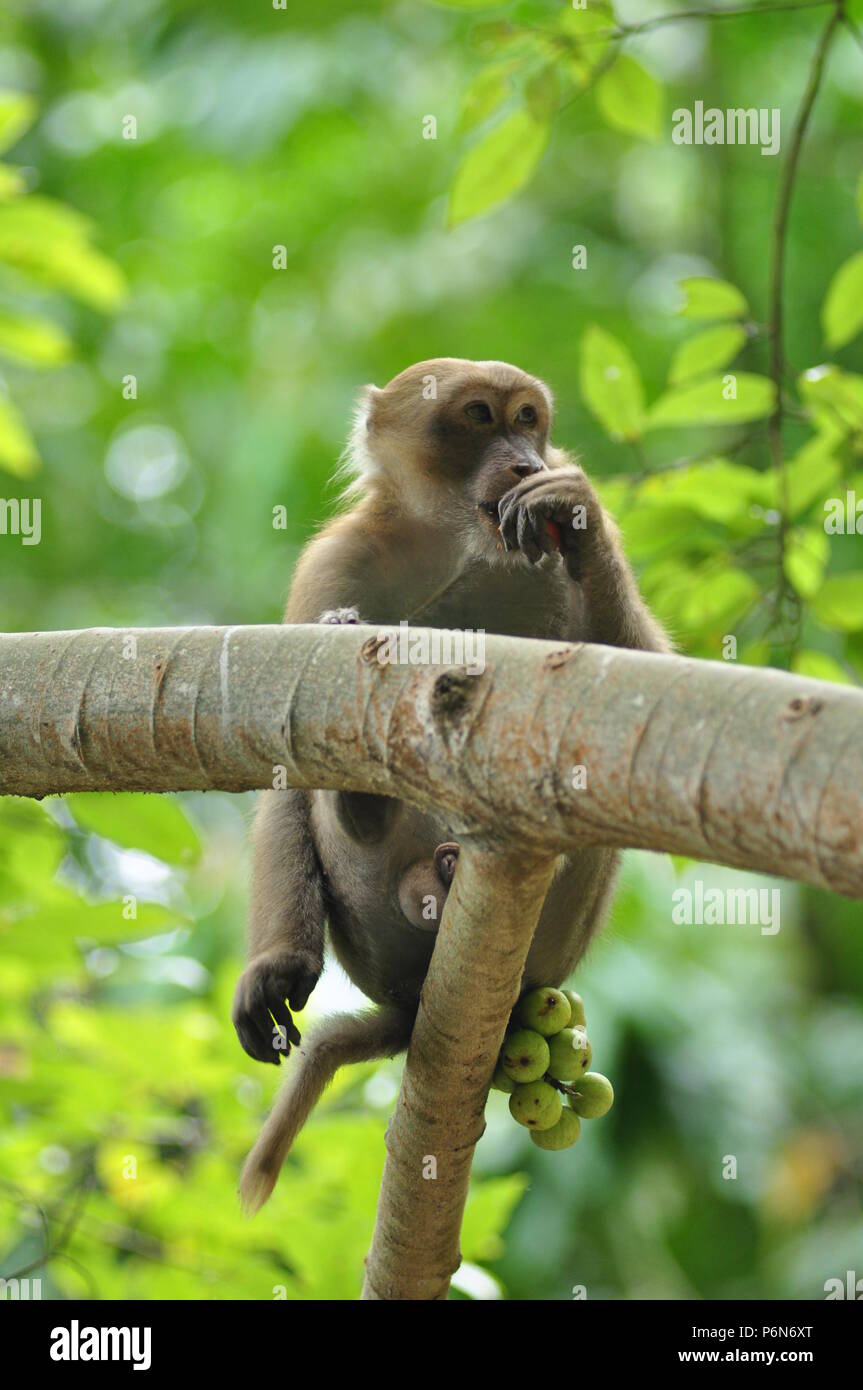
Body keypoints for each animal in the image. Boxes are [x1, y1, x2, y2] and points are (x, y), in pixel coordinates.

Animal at [234, 358, 670, 1212]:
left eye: (527, 420)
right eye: (478, 417)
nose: (525, 462)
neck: (448, 539)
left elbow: (642, 686)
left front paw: (573, 519)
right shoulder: (333, 564)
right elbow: (284, 771)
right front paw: (275, 968)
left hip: (551, 951)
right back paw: (374, 823)